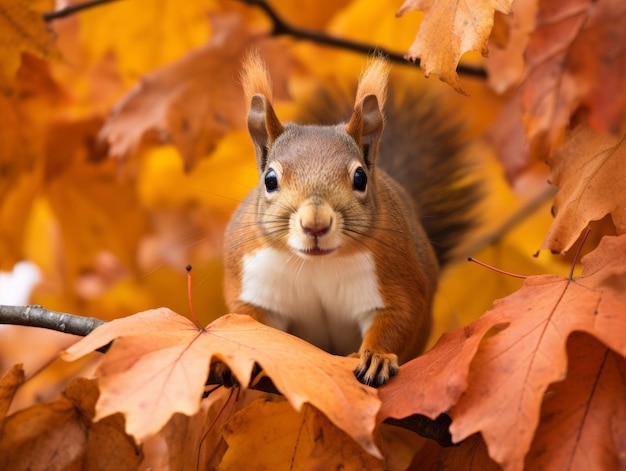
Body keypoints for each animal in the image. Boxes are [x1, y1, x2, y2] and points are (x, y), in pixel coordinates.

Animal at [222, 52, 480, 388]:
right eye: (269, 180)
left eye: (360, 178)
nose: (315, 224)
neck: (316, 265)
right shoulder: (255, 281)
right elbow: (249, 323)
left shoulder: (396, 275)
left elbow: (397, 318)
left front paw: (376, 358)